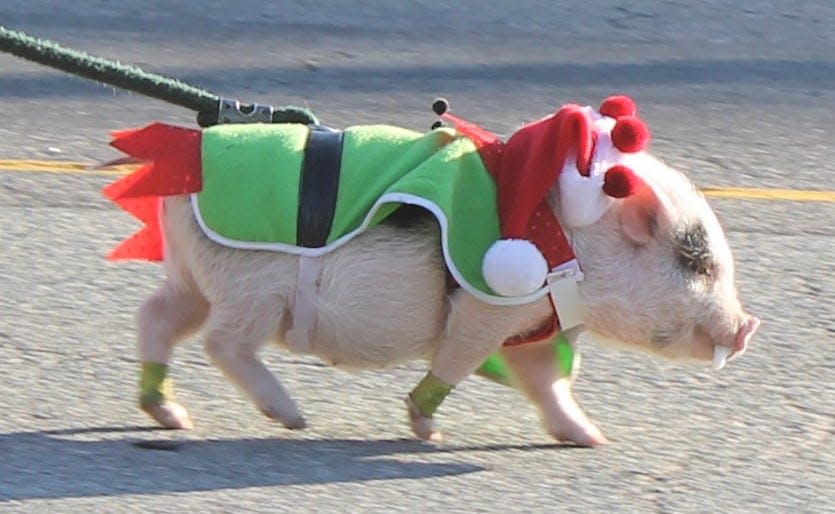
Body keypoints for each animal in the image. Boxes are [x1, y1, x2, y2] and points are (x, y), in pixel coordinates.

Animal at [112, 95, 764, 444]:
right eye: (695, 263)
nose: (747, 327)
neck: (570, 242)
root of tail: (183, 164)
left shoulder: (536, 328)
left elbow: (548, 383)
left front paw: (591, 439)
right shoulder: (489, 307)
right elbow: (458, 359)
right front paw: (429, 431)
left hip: (194, 277)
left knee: (155, 315)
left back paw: (172, 417)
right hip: (251, 289)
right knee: (222, 342)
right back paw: (294, 418)